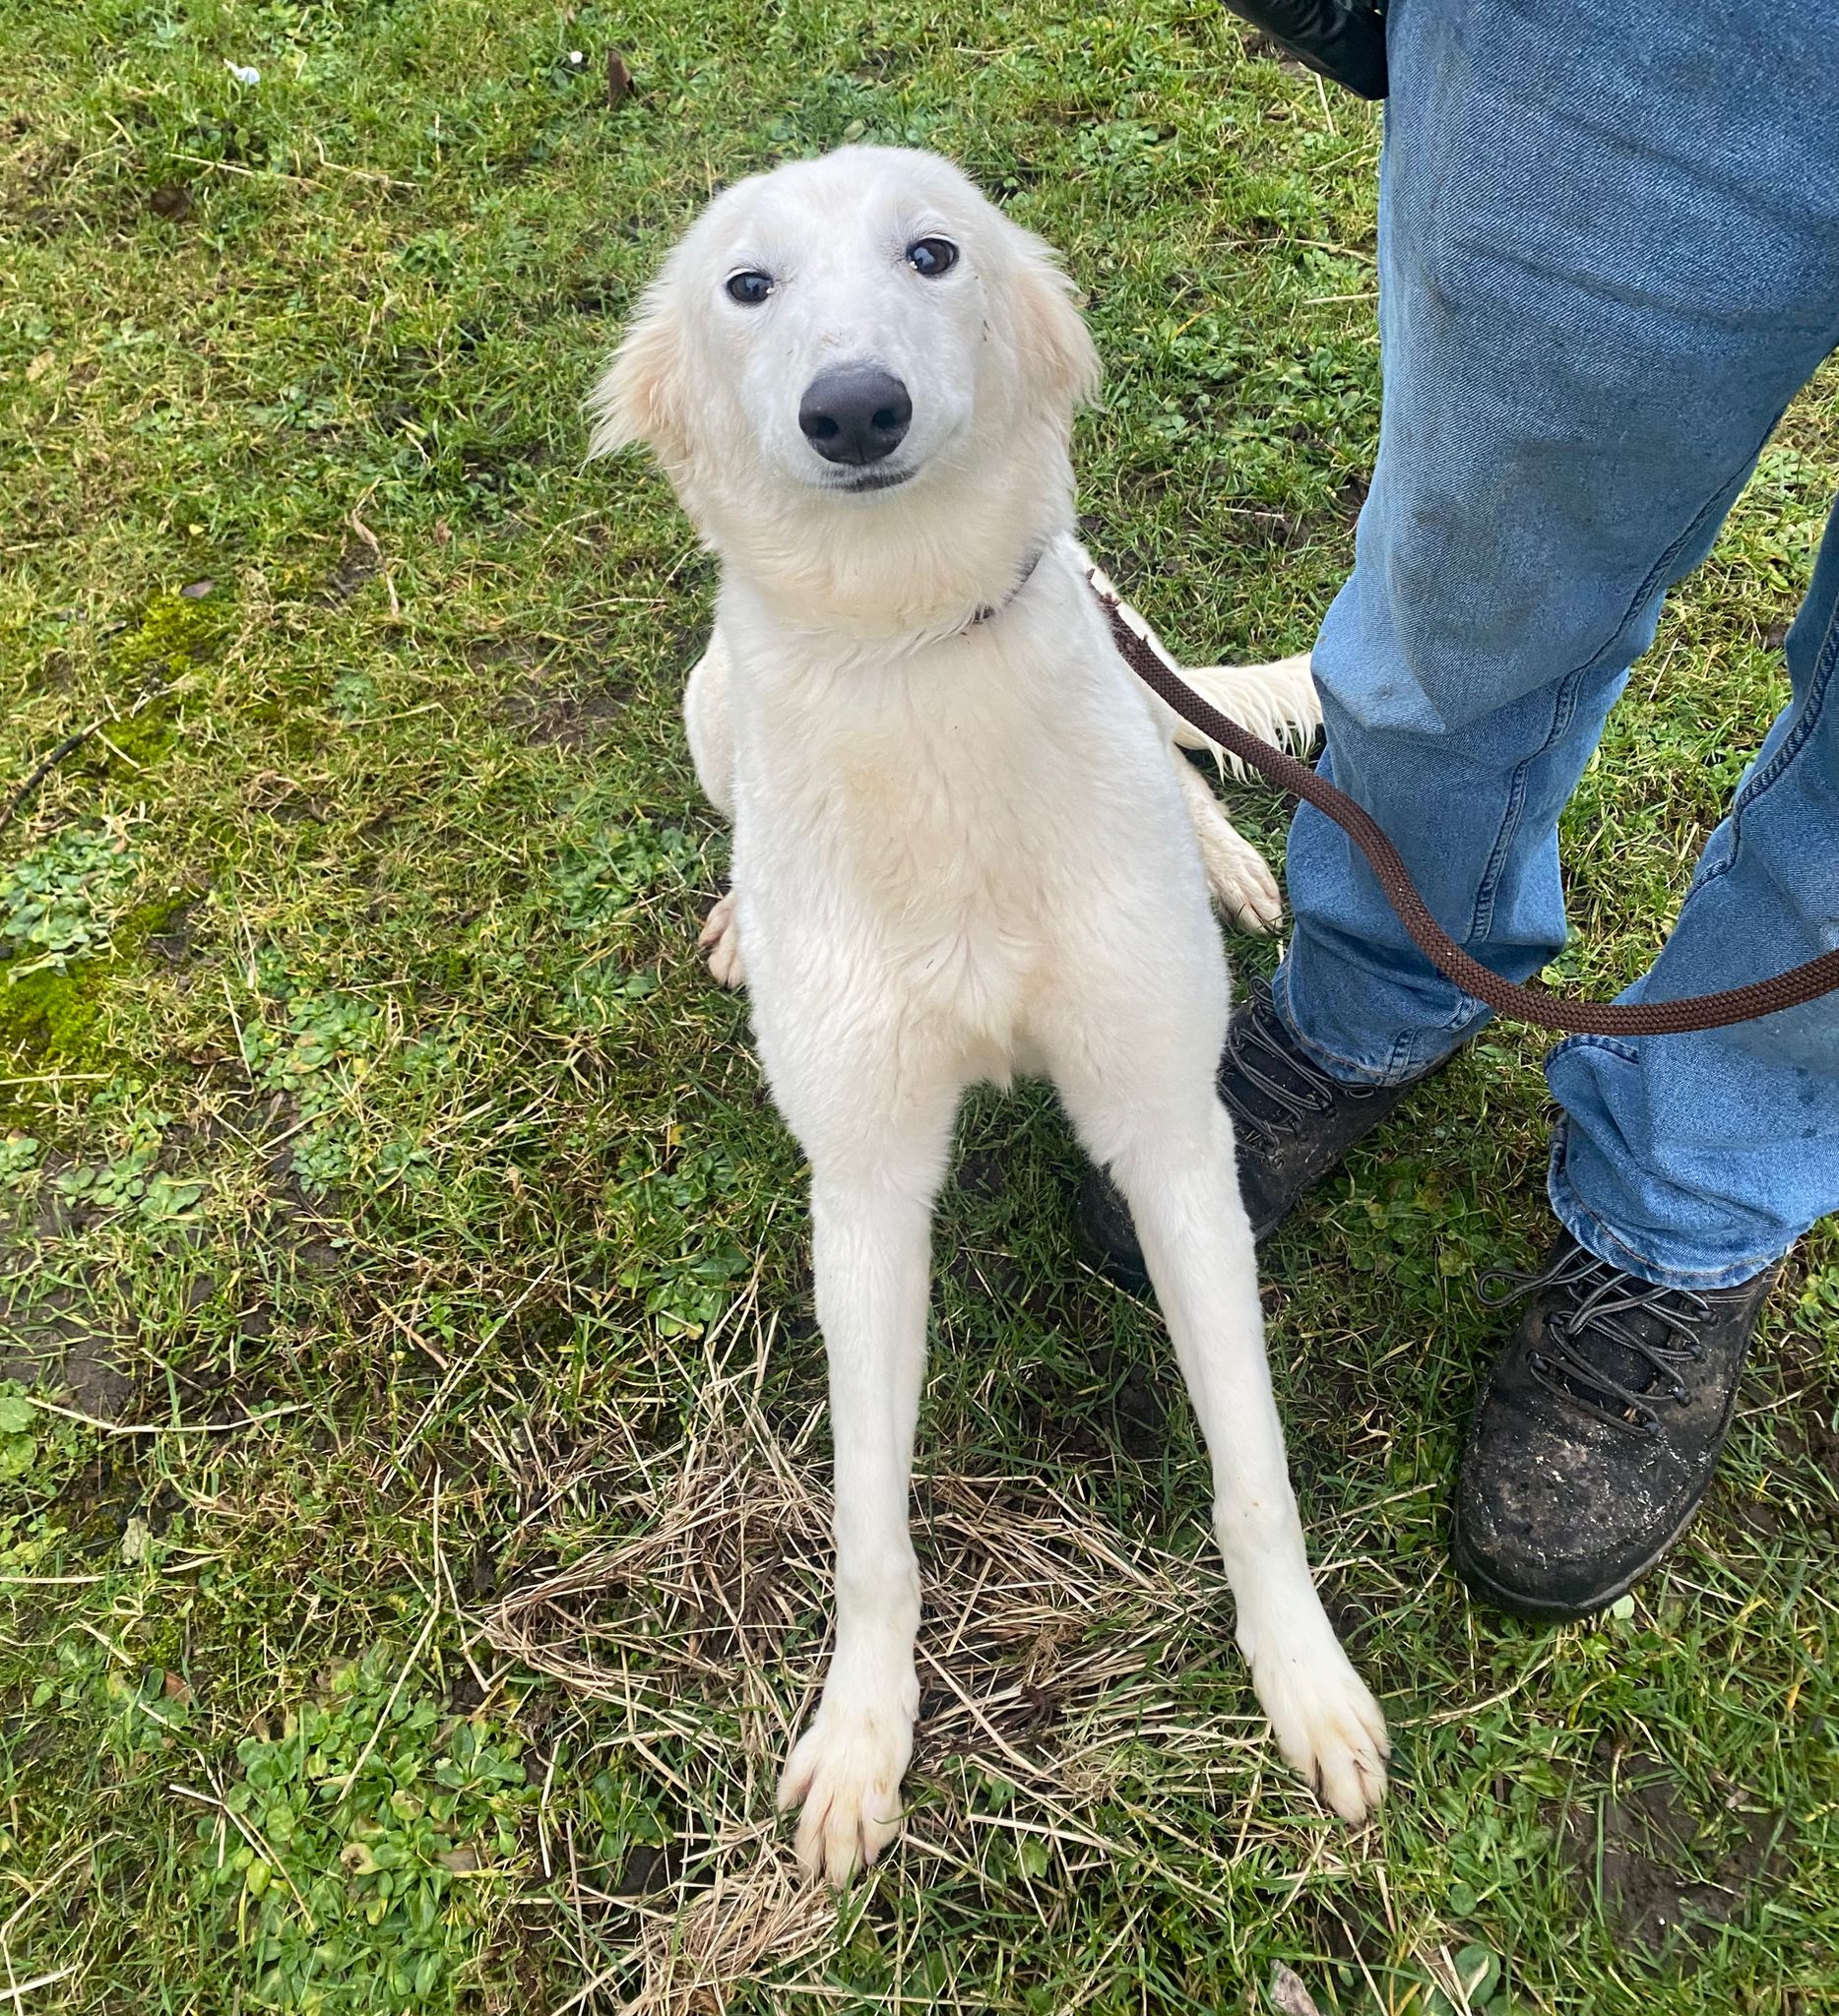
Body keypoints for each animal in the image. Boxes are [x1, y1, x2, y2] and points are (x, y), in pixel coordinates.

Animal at [589, 145, 1388, 1885]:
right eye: (747, 285)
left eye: (931, 253)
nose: (854, 409)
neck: (912, 645)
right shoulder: (867, 1189)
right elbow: (869, 1524)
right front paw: (860, 1741)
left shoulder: (1171, 1138)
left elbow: (1253, 1465)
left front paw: (1303, 1681)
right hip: (705, 711)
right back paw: (741, 913)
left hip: (1113, 621)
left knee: (1181, 743)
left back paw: (1228, 856)